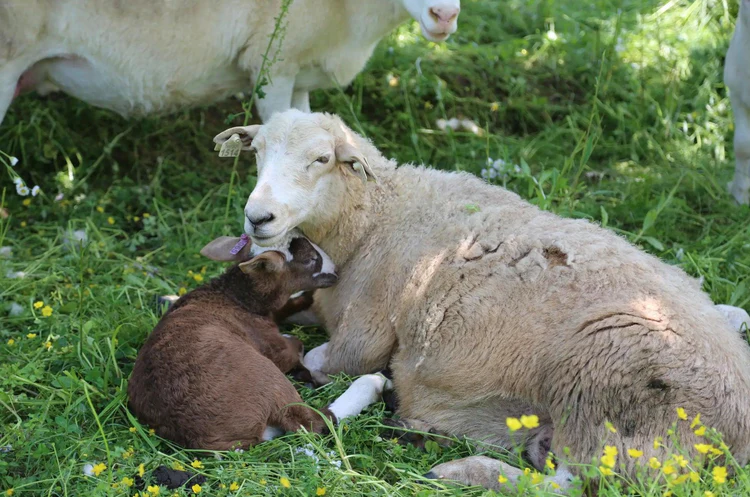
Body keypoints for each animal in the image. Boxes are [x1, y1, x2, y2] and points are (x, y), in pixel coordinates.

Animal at [127, 233, 390, 450]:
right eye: (309, 259)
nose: (335, 271)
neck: (235, 297)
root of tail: (208, 440)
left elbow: (286, 306)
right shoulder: (272, 345)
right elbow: (294, 345)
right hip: (268, 381)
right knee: (312, 422)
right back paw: (373, 382)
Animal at [214, 110, 750, 492]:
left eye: (321, 159)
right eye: (257, 151)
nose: (257, 217)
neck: (376, 218)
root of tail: (738, 427)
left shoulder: (362, 337)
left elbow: (319, 360)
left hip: (603, 388)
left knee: (573, 485)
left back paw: (458, 467)